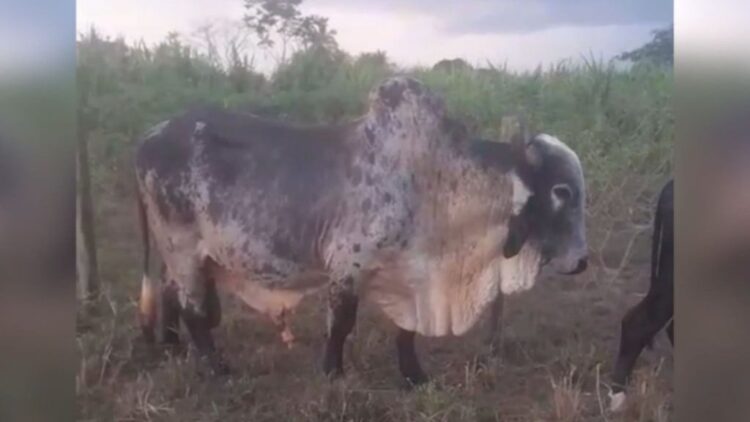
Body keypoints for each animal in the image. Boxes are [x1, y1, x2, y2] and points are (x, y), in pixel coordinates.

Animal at [134, 76, 588, 382]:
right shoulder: (346, 265)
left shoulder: (412, 276)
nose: (582, 262)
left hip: (186, 255)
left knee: (171, 294)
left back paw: (173, 347)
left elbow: (406, 331)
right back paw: (217, 368)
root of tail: (150, 135)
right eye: (561, 191)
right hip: (182, 247)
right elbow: (341, 325)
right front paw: (332, 373)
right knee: (193, 310)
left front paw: (413, 376)